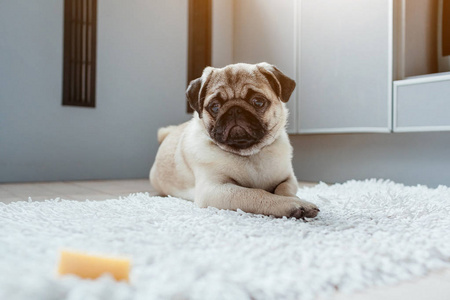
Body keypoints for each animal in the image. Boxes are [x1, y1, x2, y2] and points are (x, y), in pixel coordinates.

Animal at [151, 62, 320, 218]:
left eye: (258, 102)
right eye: (214, 106)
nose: (235, 109)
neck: (250, 154)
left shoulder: (288, 179)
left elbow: (284, 189)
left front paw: (295, 199)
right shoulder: (214, 189)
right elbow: (256, 193)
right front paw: (293, 204)